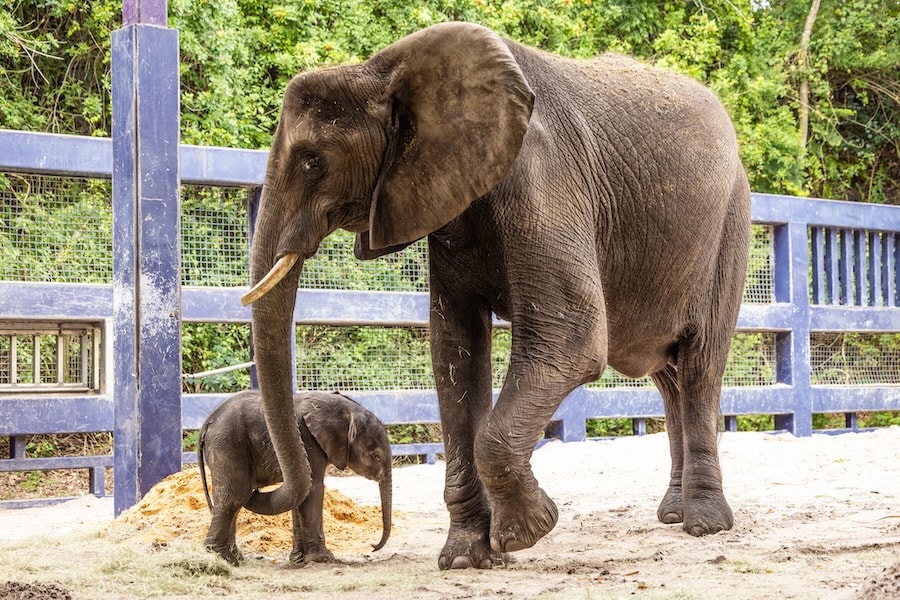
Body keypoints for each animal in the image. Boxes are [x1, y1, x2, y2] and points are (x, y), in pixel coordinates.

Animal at [200, 392, 390, 564]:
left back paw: (236, 557)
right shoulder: (308, 441)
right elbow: (313, 489)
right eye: (376, 456)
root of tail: (207, 423)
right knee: (234, 496)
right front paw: (323, 559)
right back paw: (224, 558)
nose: (372, 547)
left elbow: (301, 495)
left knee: (237, 497)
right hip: (227, 444)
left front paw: (299, 559)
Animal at [241, 21, 752, 568]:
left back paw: (704, 526)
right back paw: (673, 515)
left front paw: (527, 531)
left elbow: (570, 338)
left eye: (311, 163)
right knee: (668, 374)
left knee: (698, 366)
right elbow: (454, 352)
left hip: (730, 226)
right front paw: (468, 558)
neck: (382, 70)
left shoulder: (544, 180)